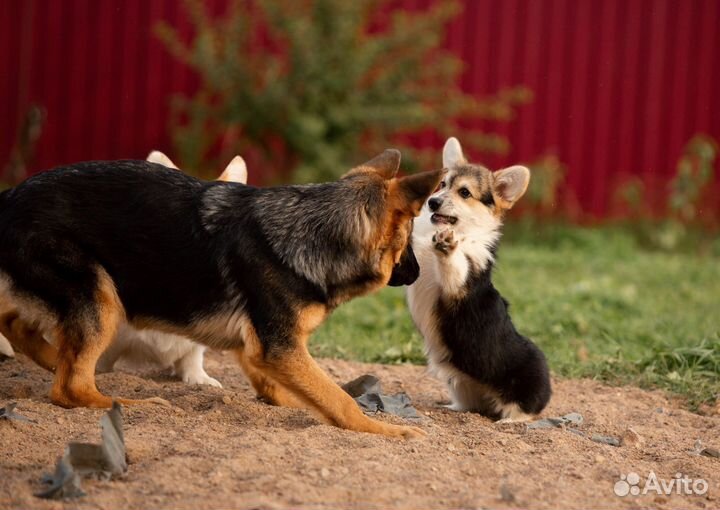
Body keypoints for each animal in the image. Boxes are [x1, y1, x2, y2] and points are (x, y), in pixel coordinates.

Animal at [0, 148, 438, 438]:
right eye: (409, 240)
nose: (418, 272)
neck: (314, 232)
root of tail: (9, 198)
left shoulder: (258, 349)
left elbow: (296, 393)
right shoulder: (279, 347)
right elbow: (336, 397)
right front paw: (384, 430)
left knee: (21, 327)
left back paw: (57, 358)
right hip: (102, 297)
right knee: (69, 388)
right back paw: (134, 403)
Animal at [408, 137, 556, 420]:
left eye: (465, 193)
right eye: (442, 184)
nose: (432, 202)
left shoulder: (460, 284)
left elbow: (454, 265)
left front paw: (448, 246)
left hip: (527, 380)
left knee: (525, 411)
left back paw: (509, 421)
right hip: (459, 385)